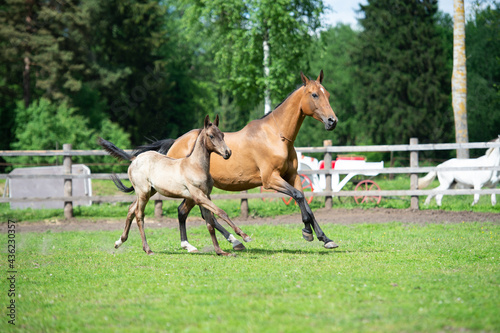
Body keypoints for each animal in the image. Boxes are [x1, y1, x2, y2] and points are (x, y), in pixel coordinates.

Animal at [98, 115, 250, 255]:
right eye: (211, 135)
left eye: (222, 135)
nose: (227, 152)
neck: (195, 166)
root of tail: (135, 158)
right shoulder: (198, 196)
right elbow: (221, 213)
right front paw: (244, 236)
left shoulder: (205, 196)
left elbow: (210, 223)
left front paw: (220, 251)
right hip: (143, 193)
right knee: (139, 215)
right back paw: (147, 249)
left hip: (148, 192)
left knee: (130, 209)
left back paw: (119, 241)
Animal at [135, 72, 338, 249]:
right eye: (314, 94)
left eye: (327, 94)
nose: (332, 121)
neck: (276, 136)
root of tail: (175, 143)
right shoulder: (271, 180)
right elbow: (298, 196)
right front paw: (307, 231)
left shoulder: (292, 176)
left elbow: (305, 202)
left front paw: (324, 238)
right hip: (192, 191)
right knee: (190, 212)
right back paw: (223, 241)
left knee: (198, 213)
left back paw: (228, 241)